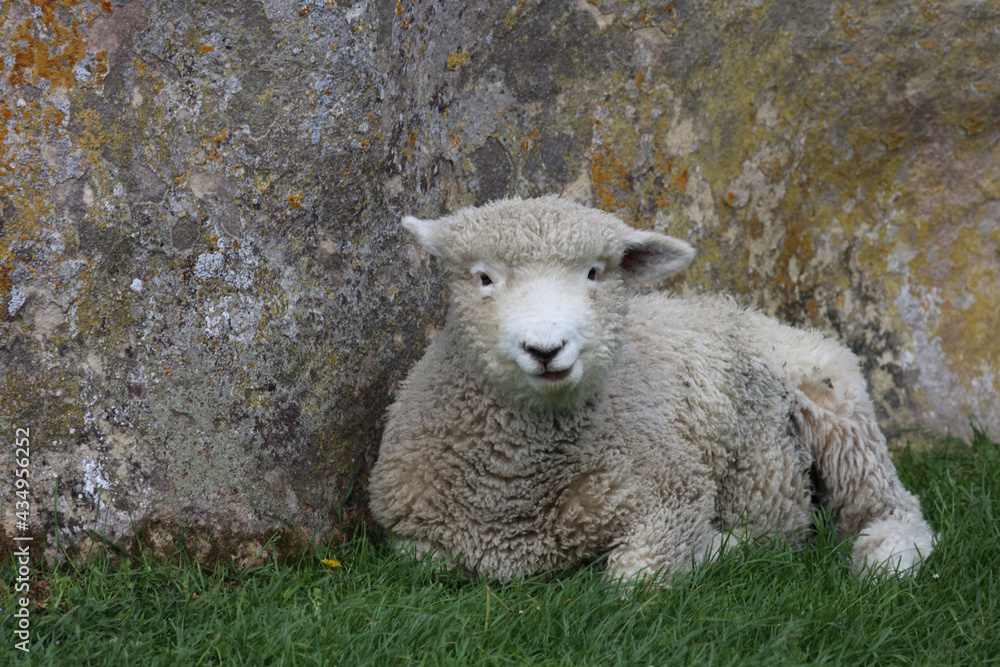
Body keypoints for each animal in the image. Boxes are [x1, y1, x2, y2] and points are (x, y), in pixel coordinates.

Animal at [368, 195, 935, 585]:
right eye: (484, 278)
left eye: (594, 273)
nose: (546, 348)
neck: (513, 488)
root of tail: (739, 310)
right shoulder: (412, 537)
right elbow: (425, 563)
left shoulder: (672, 492)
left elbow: (634, 581)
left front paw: (718, 548)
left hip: (837, 400)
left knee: (889, 502)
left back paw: (889, 555)